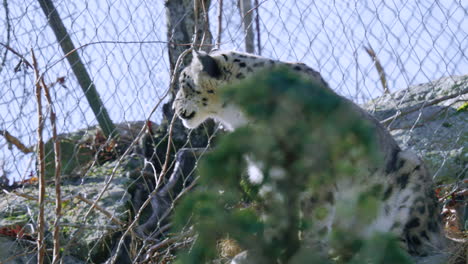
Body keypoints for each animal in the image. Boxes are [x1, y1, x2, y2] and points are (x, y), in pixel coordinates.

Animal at [173, 49, 446, 256]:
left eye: (183, 82)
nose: (174, 107)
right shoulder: (269, 174)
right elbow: (276, 219)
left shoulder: (316, 172)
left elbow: (315, 218)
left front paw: (308, 251)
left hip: (411, 176)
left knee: (412, 240)